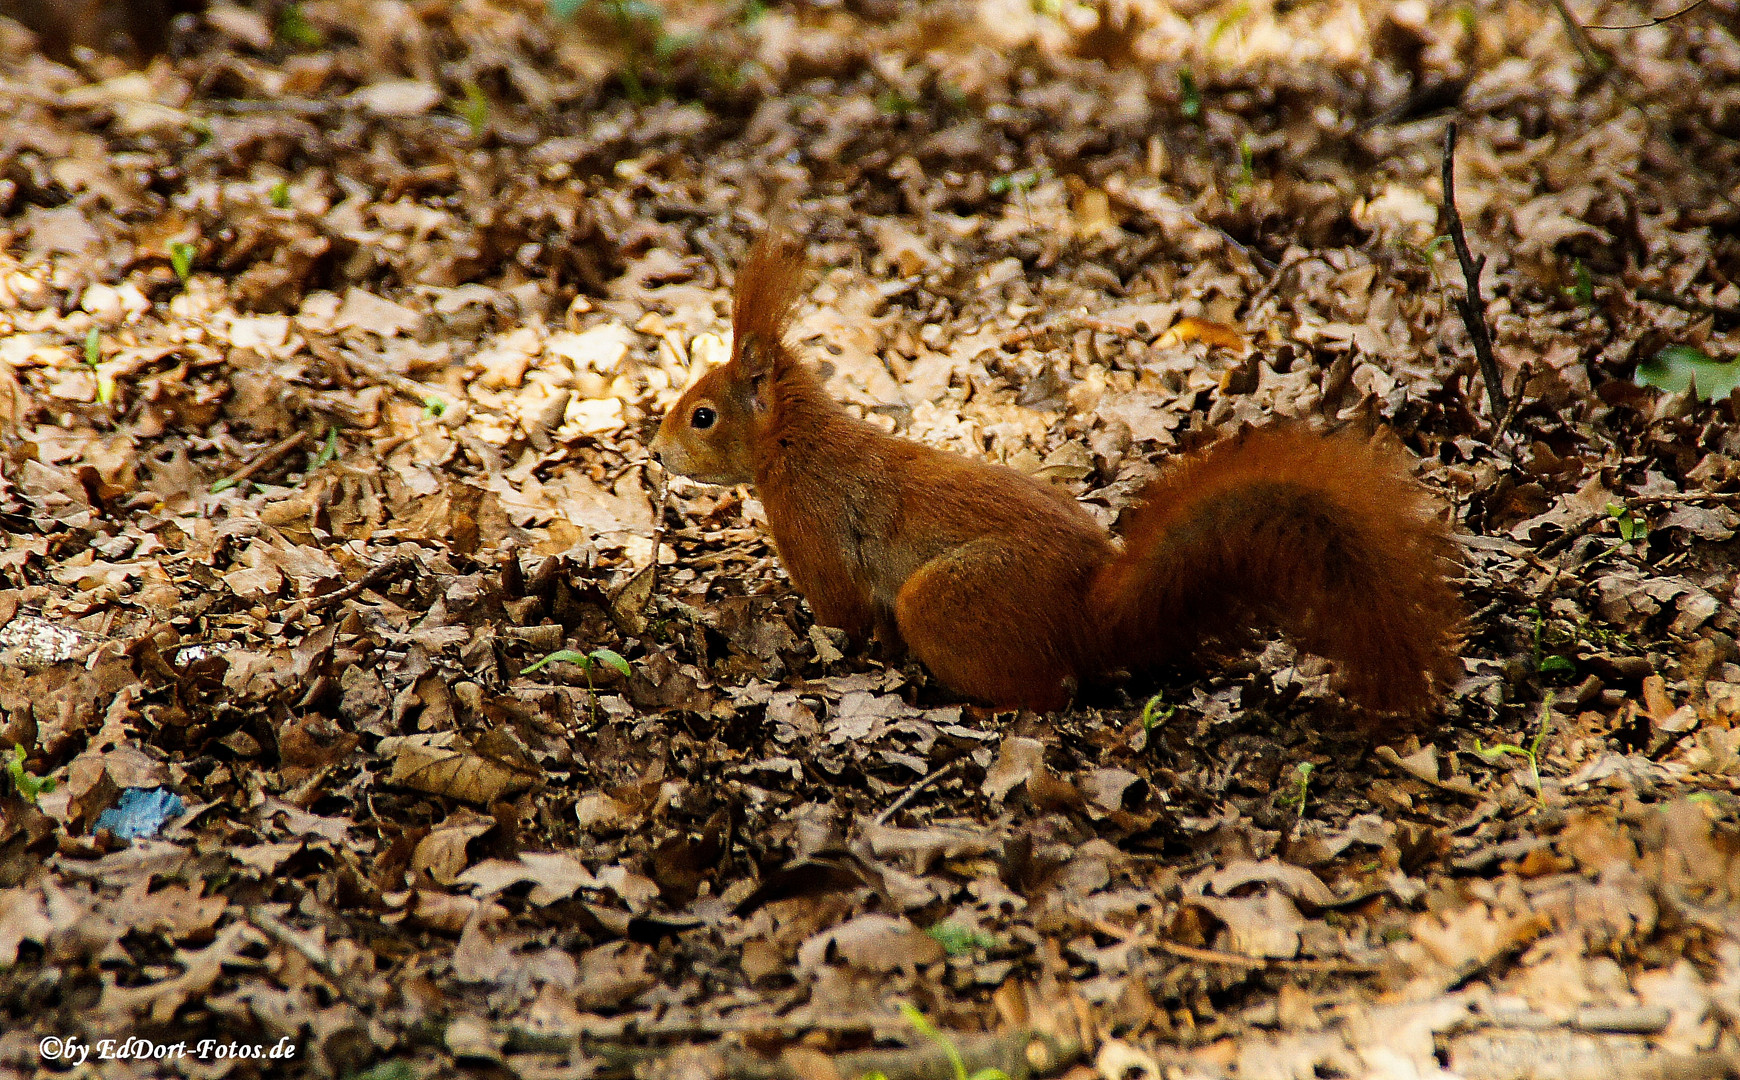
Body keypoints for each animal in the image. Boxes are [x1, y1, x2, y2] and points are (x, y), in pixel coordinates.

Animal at [647, 231, 1461, 713]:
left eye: (702, 417)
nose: (657, 452)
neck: (796, 445)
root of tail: (1096, 613)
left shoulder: (817, 532)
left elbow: (841, 613)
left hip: (943, 599)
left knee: (1052, 687)